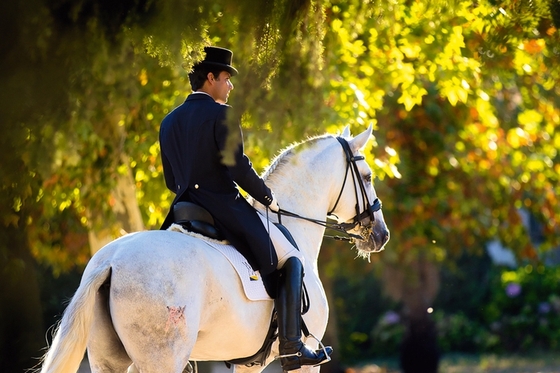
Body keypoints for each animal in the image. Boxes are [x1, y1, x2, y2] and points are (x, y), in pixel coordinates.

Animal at [39, 125, 390, 372]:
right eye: (368, 177)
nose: (381, 235)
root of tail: (110, 261)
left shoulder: (249, 363)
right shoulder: (306, 365)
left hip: (108, 360)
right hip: (160, 358)